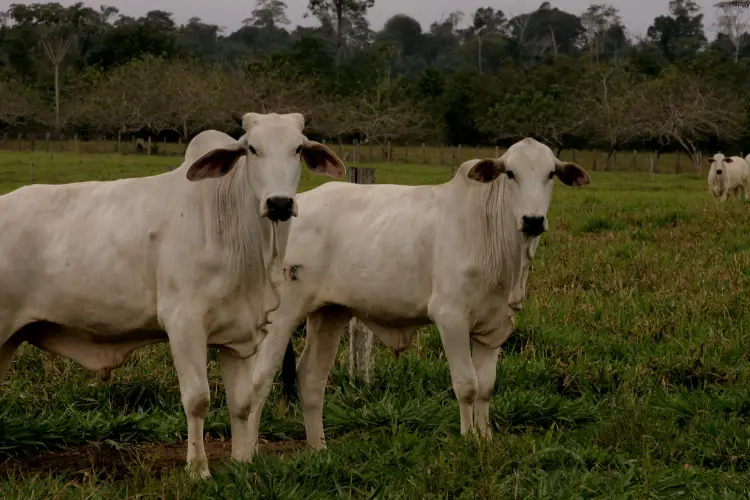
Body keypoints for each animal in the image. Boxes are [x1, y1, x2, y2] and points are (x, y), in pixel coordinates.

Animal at [0, 111, 346, 478]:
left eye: (298, 148)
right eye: (252, 148)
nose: (279, 203)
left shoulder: (239, 336)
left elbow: (242, 403)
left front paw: (241, 462)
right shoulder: (184, 324)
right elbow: (197, 400)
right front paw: (198, 469)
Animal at [238, 138, 592, 458]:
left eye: (550, 173)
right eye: (510, 173)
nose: (533, 220)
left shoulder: (493, 328)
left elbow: (486, 388)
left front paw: (485, 439)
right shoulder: (450, 317)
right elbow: (467, 385)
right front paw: (468, 441)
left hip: (330, 314)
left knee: (311, 378)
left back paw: (318, 448)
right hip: (282, 315)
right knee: (258, 380)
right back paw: (248, 454)